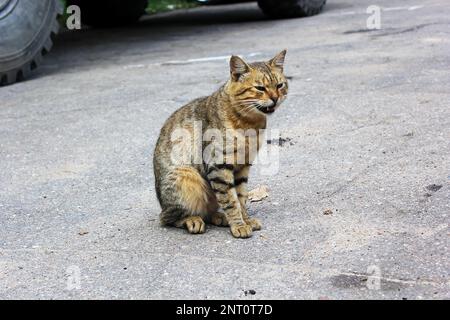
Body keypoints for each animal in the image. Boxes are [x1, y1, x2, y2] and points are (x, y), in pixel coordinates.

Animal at [154, 50, 288, 239]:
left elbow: (241, 197)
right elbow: (231, 200)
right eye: (260, 88)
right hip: (186, 176)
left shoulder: (243, 166)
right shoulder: (219, 167)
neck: (249, 123)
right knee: (167, 218)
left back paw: (219, 217)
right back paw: (193, 220)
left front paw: (245, 220)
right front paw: (239, 225)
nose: (275, 98)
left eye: (280, 85)